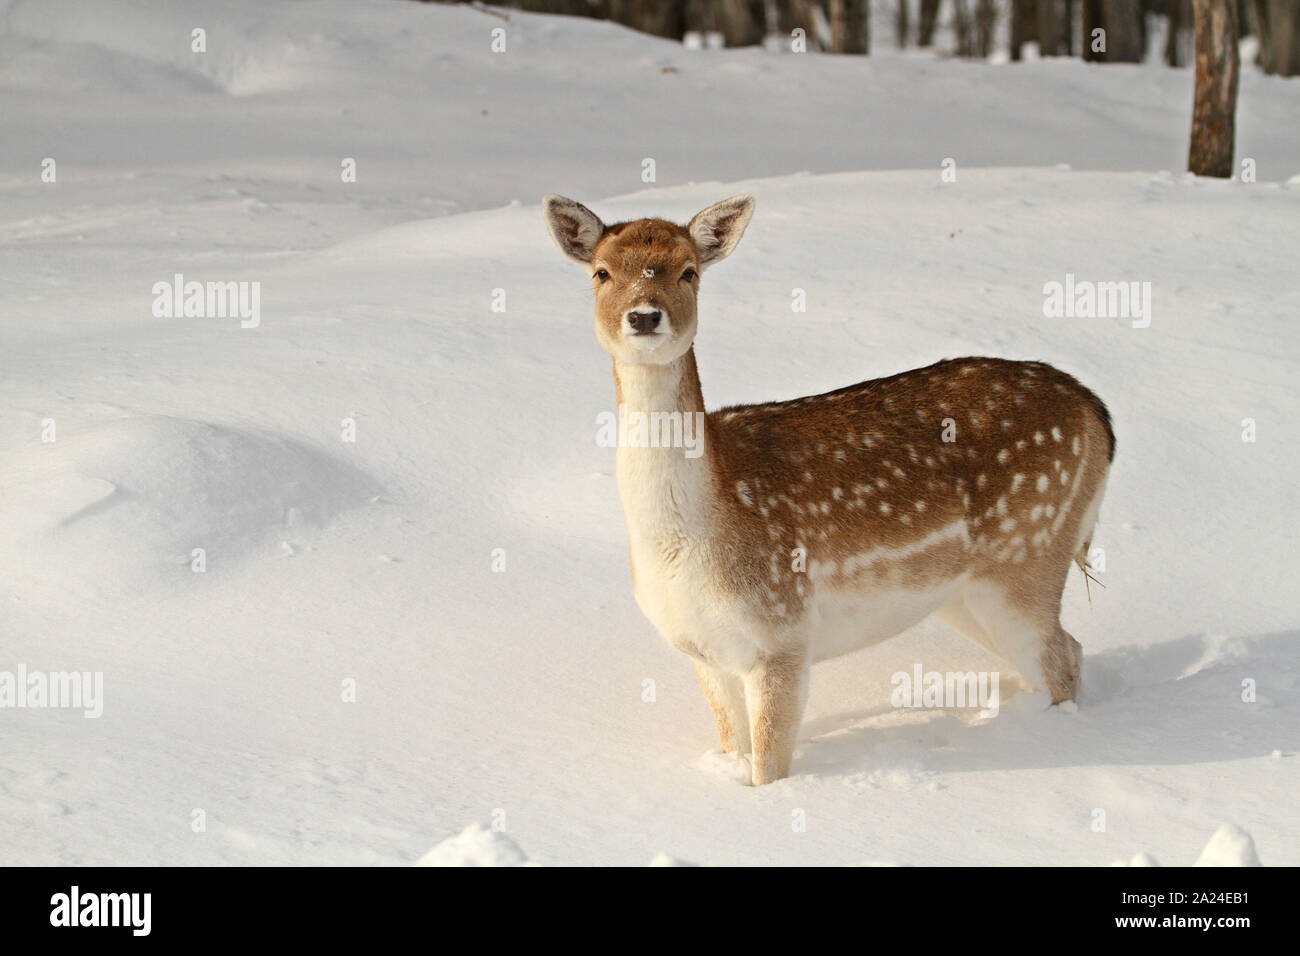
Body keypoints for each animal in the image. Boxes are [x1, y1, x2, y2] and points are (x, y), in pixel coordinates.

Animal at [544, 193, 1114, 786]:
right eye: (601, 272)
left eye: (689, 271)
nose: (644, 315)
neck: (688, 539)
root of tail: (1098, 414)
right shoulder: (704, 651)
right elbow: (733, 749)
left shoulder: (783, 633)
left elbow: (768, 771)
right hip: (967, 593)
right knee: (1071, 649)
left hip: (1028, 553)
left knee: (1060, 662)